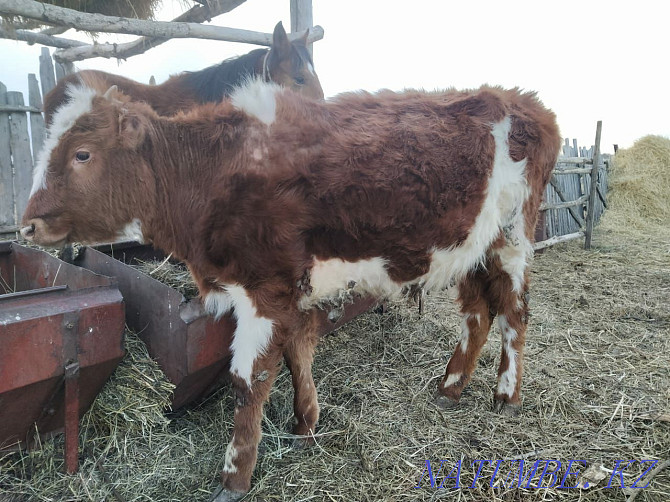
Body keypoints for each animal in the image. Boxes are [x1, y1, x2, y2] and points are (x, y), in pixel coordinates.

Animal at [22, 80, 560, 500]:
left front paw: (235, 477)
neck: (213, 171)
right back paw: (450, 388)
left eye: (82, 154)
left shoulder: (264, 287)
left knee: (514, 314)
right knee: (477, 315)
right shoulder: (289, 288)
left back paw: (506, 395)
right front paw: (305, 426)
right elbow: (297, 351)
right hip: (473, 245)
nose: (26, 224)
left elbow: (249, 380)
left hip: (513, 237)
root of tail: (527, 102)